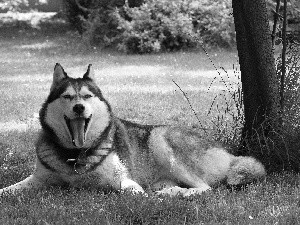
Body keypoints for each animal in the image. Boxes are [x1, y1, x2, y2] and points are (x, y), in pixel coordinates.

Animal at [0, 63, 266, 197]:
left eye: (87, 96)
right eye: (67, 96)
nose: (78, 107)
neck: (74, 156)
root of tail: (231, 155)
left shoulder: (127, 184)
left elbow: (131, 193)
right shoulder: (38, 180)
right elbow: (6, 190)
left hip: (161, 138)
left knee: (206, 188)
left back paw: (175, 193)